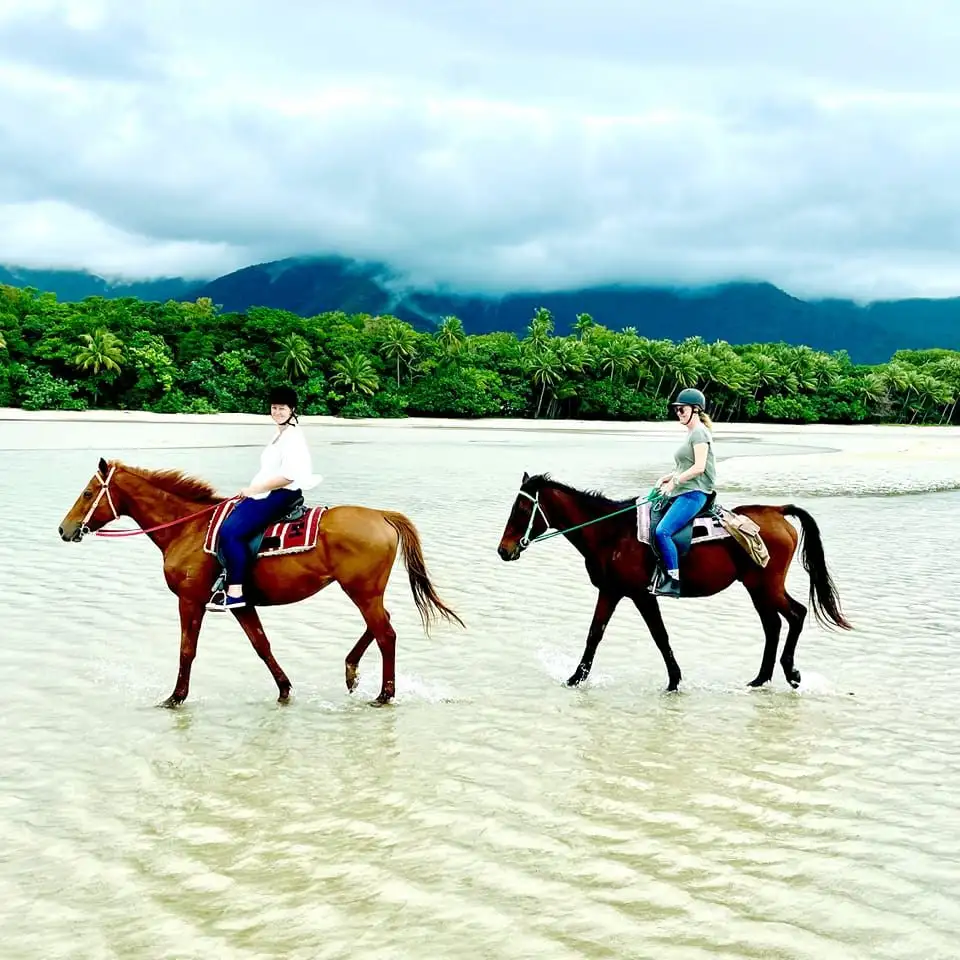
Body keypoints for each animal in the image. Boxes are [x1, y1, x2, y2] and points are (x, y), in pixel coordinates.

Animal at [58, 458, 464, 704]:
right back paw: (352, 671)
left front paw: (175, 697)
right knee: (382, 625)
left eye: (88, 493)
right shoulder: (241, 603)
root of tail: (381, 515)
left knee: (386, 633)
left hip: (361, 591)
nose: (65, 529)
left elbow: (187, 650)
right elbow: (261, 645)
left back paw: (383, 694)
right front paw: (284, 690)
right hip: (365, 591)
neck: (188, 529)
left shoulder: (189, 600)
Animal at [498, 472, 852, 688]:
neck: (610, 532)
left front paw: (673, 680)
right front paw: (577, 678)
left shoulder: (639, 595)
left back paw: (790, 673)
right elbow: (596, 634)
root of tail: (777, 510)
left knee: (795, 615)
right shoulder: (612, 592)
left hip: (766, 586)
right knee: (774, 624)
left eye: (521, 509)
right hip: (757, 588)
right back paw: (760, 678)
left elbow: (657, 636)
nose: (504, 550)